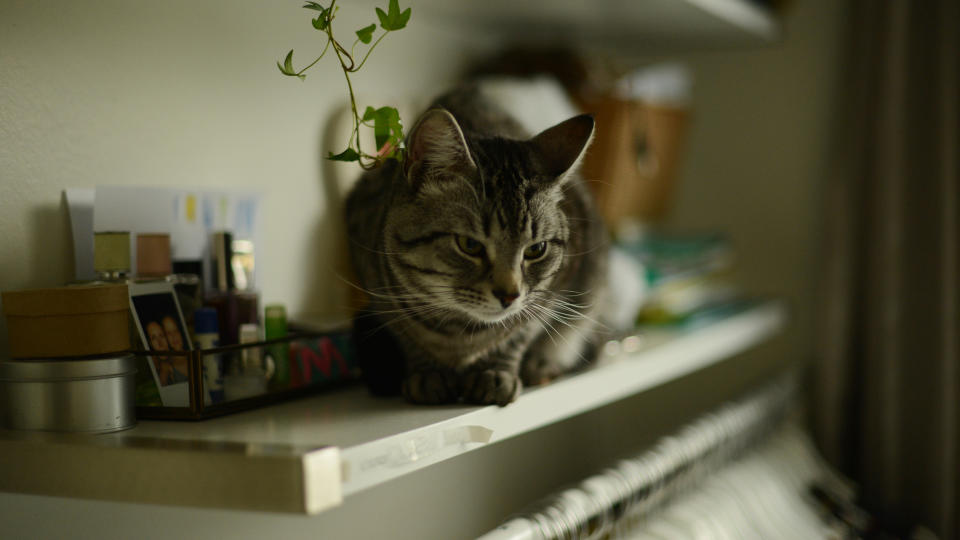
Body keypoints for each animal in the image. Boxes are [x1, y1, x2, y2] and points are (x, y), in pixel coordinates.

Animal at [346, 85, 608, 404]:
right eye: (469, 245)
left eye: (536, 250)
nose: (509, 295)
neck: (459, 332)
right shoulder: (374, 281)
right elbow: (407, 336)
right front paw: (428, 373)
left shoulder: (551, 291)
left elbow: (518, 333)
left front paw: (494, 372)